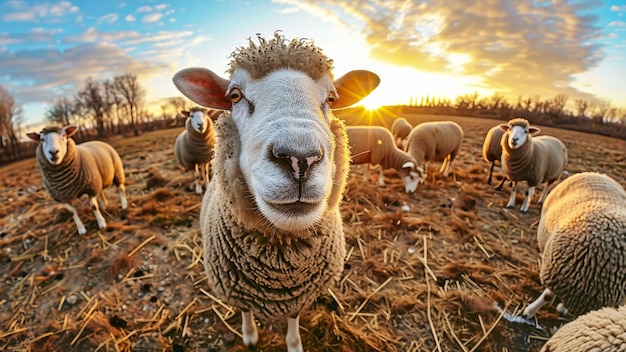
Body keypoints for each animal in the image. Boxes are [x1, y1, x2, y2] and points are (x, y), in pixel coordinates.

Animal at [169, 31, 380, 350]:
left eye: (331, 98)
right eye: (234, 95)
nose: (300, 159)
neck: (279, 266)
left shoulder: (297, 295)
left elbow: (293, 320)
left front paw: (293, 343)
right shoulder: (236, 288)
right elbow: (245, 312)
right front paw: (250, 337)